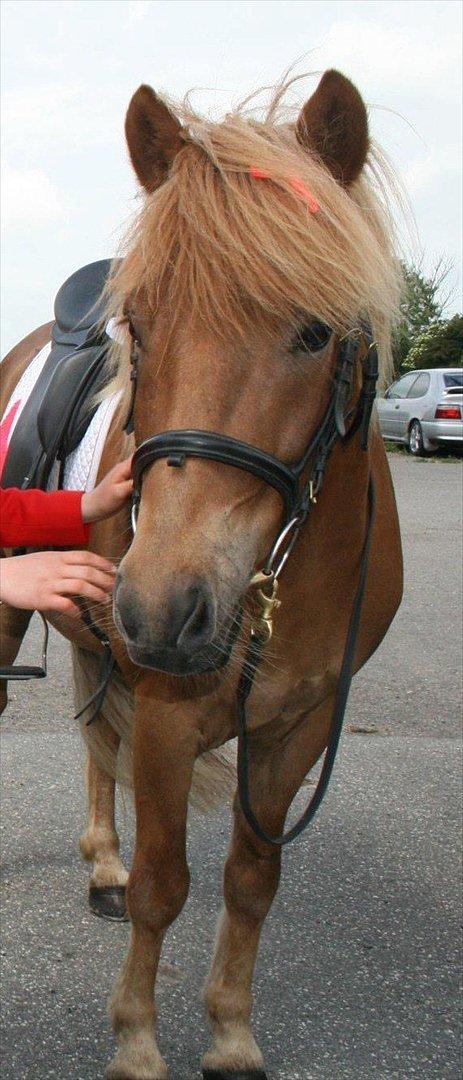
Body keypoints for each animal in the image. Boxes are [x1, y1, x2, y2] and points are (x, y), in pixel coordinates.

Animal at [0, 69, 401, 1080]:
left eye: (313, 332)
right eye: (138, 329)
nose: (161, 606)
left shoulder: (298, 723)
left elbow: (249, 879)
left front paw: (228, 1029)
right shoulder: (168, 715)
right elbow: (164, 883)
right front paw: (139, 1042)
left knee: (94, 736)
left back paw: (100, 856)